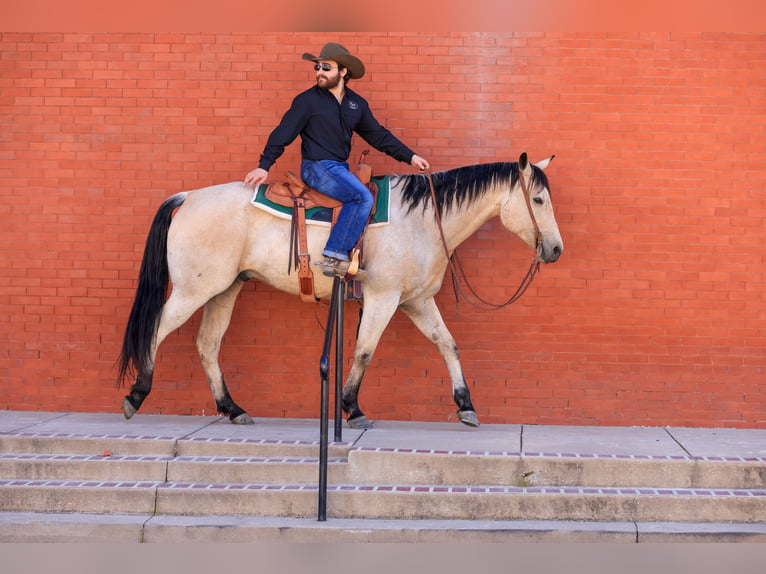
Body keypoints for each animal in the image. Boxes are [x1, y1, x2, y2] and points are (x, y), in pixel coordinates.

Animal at [118, 154, 564, 432]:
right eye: (538, 199)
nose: (556, 249)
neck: (421, 220)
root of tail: (189, 197)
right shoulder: (384, 297)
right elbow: (364, 350)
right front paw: (352, 408)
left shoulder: (416, 300)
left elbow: (447, 344)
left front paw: (466, 406)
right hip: (195, 289)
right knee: (156, 330)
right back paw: (136, 396)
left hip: (224, 289)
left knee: (208, 345)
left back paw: (233, 409)